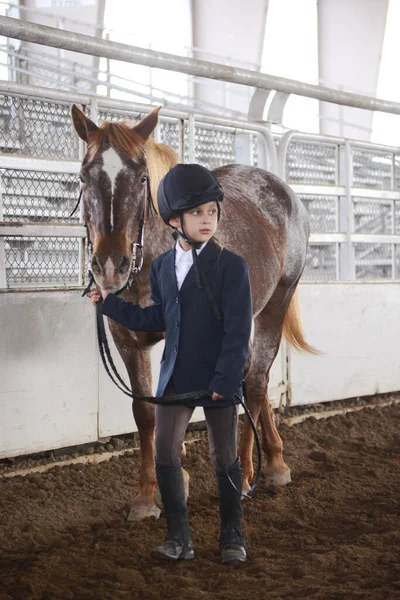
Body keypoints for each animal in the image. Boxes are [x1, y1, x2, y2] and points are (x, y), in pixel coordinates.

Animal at [72, 104, 316, 520]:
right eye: (84, 177)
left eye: (142, 178)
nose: (110, 267)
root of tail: (282, 192)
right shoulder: (126, 339)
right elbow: (145, 411)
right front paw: (147, 495)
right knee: (248, 375)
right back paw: (275, 462)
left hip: (276, 302)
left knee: (255, 382)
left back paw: (248, 474)